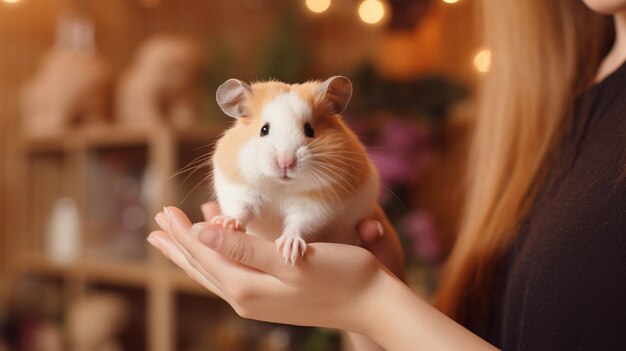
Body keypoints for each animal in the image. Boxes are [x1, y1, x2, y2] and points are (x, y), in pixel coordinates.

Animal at [210, 76, 378, 264]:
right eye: (263, 129)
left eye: (310, 130)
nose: (285, 163)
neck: (281, 186)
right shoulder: (241, 190)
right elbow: (241, 210)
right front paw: (225, 223)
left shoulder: (316, 204)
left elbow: (299, 223)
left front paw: (290, 249)